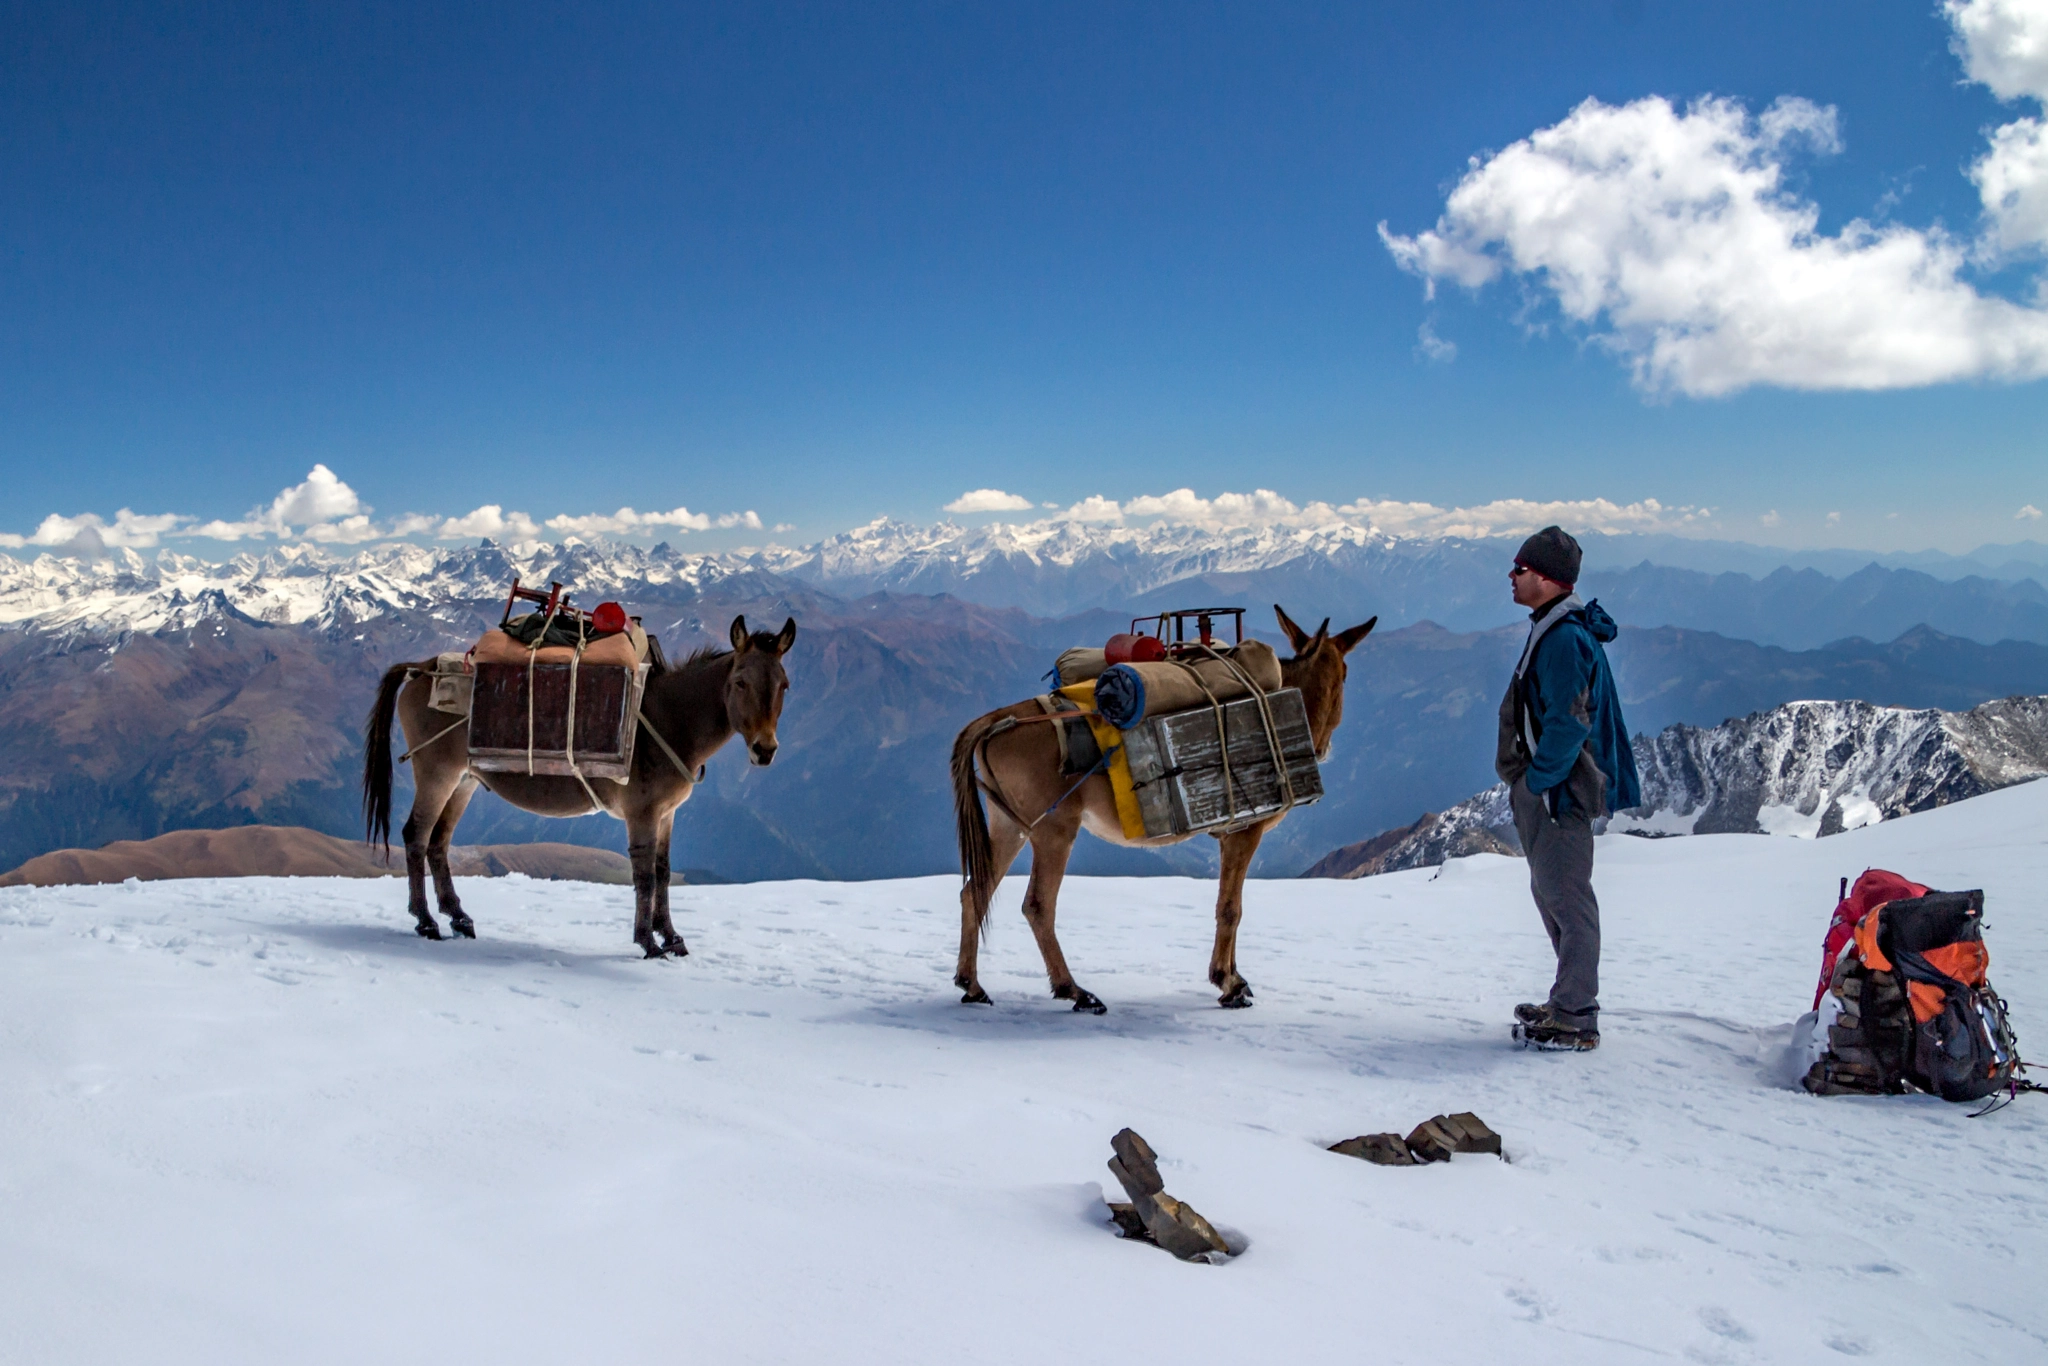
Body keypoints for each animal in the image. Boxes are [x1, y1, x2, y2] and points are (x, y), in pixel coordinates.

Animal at [362, 615, 795, 957]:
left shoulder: (668, 814)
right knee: (416, 836)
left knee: (438, 842)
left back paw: (458, 917)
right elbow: (644, 875)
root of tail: (420, 667)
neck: (670, 721)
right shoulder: (642, 814)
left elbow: (665, 871)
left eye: (784, 685)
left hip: (464, 781)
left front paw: (672, 937)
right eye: (740, 682)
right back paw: (426, 922)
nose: (765, 750)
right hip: (436, 774)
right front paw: (648, 943)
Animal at [948, 604, 1375, 1013]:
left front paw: (1233, 976)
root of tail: (996, 721)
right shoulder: (1243, 831)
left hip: (1011, 825)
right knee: (1038, 905)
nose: (1324, 746)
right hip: (1054, 829)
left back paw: (972, 985)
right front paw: (1228, 983)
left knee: (974, 892)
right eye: (1346, 673)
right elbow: (1230, 907)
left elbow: (1231, 906)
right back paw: (1074, 991)